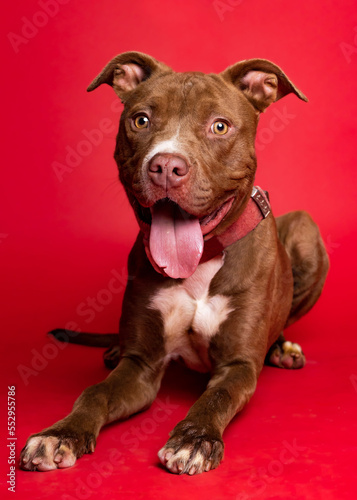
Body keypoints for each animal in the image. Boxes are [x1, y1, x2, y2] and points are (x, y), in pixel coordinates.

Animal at [20, 52, 328, 474]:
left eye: (219, 126)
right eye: (141, 120)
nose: (166, 166)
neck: (199, 264)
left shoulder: (238, 366)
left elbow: (215, 398)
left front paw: (195, 440)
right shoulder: (141, 367)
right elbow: (95, 392)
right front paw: (60, 434)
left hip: (305, 230)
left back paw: (282, 348)